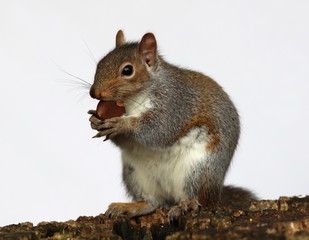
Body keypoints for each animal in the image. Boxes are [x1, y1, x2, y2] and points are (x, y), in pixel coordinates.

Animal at [87, 30, 255, 221]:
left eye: (127, 70)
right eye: (100, 63)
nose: (94, 92)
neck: (132, 100)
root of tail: (216, 196)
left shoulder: (174, 104)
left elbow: (160, 130)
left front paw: (123, 124)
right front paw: (94, 120)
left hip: (199, 170)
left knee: (197, 199)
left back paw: (186, 206)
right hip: (134, 174)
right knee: (153, 202)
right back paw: (131, 207)